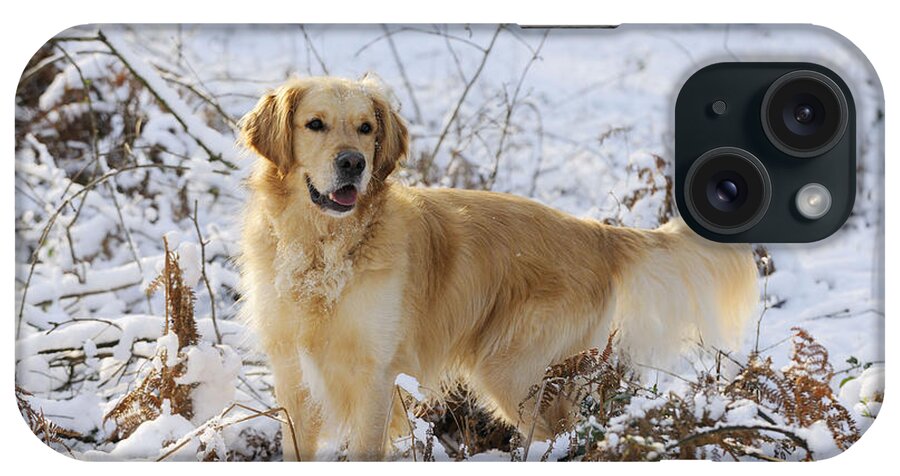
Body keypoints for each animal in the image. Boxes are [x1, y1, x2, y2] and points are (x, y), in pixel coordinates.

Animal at [237, 76, 760, 460]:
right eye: (315, 124)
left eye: (366, 128)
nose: (353, 163)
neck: (322, 249)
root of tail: (596, 232)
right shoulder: (292, 376)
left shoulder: (376, 377)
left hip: (510, 370)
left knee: (562, 437)